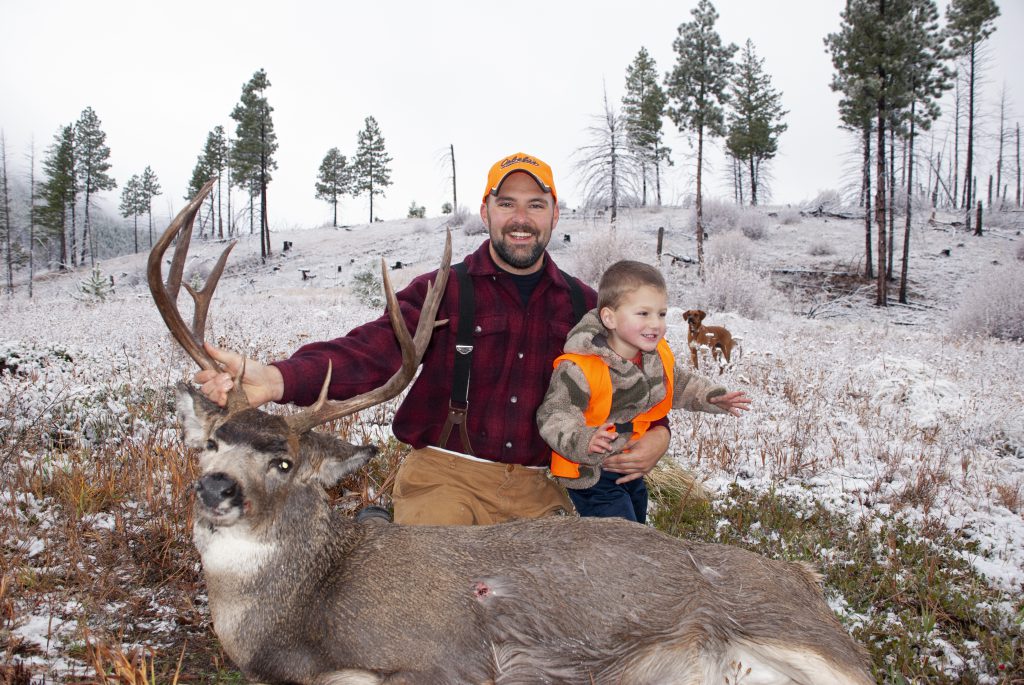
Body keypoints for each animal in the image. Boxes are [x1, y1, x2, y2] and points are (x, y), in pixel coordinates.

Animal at [151, 181, 872, 683]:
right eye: (211, 442)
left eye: (282, 463)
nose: (216, 489)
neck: (296, 616)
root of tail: (808, 581)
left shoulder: (442, 659)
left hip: (812, 646)